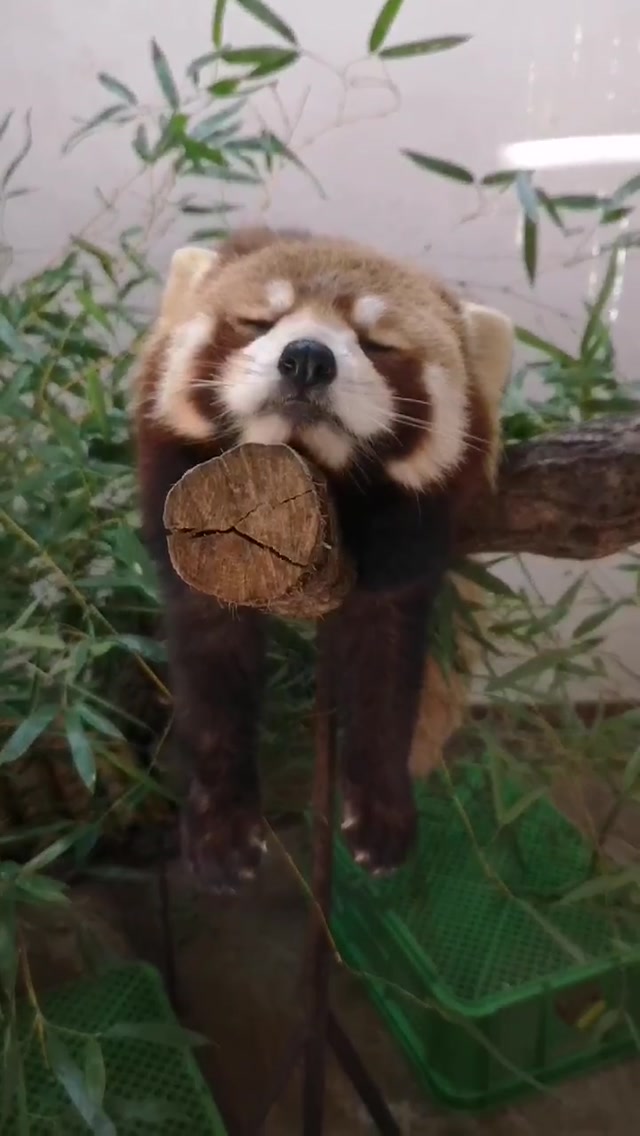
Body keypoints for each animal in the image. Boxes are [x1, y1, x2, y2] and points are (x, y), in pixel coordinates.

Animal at [133, 226, 513, 894]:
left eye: (379, 343)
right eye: (258, 322)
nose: (307, 357)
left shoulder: (405, 545)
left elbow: (387, 668)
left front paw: (383, 813)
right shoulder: (197, 532)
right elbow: (209, 670)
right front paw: (219, 830)